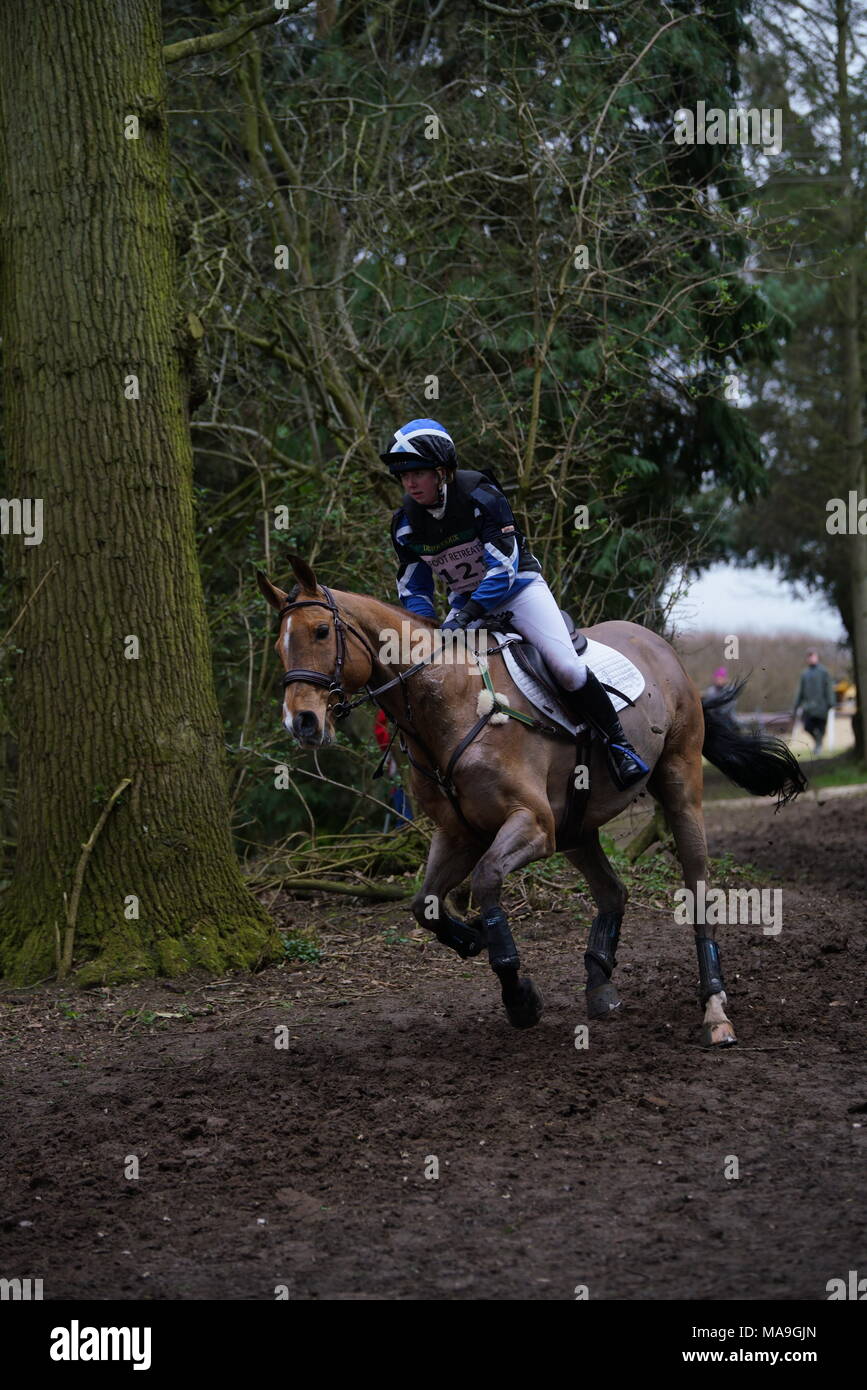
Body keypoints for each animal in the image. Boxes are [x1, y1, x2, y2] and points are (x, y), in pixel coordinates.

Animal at [258, 550, 805, 1045]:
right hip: (577, 826)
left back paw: (715, 1011)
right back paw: (599, 983)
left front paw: (515, 989)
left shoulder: (531, 825)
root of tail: (660, 646)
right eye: (280, 647)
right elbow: (424, 905)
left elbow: (486, 883)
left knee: (698, 891)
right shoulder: (457, 834)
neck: (451, 702)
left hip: (677, 784)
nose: (300, 722)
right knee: (613, 891)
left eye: (321, 632)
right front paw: (474, 940)